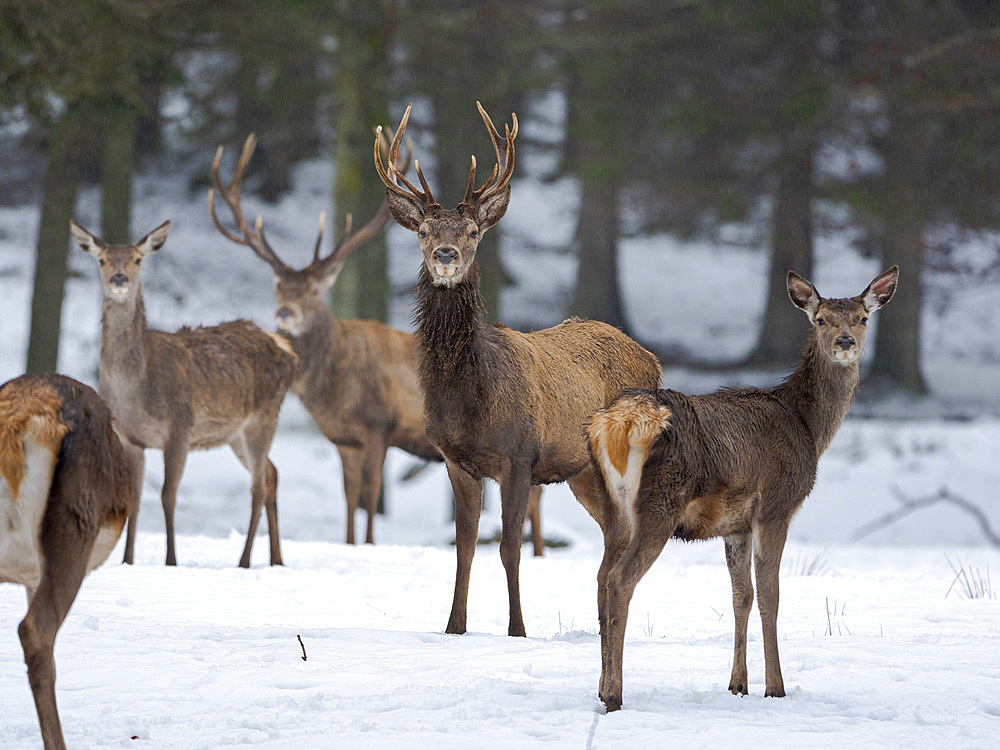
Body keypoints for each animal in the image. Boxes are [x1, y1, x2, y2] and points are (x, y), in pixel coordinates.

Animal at [72, 214, 296, 568]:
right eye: (102, 260)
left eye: (137, 259)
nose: (119, 278)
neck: (135, 391)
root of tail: (287, 349)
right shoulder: (129, 438)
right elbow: (134, 498)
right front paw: (127, 560)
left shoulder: (179, 427)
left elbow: (168, 494)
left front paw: (171, 560)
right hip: (235, 434)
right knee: (272, 474)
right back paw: (276, 559)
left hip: (264, 417)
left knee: (258, 486)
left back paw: (244, 560)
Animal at [376, 103, 664, 636]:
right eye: (424, 232)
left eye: (472, 232)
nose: (445, 256)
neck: (469, 399)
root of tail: (652, 358)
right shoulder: (455, 460)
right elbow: (465, 548)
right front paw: (454, 627)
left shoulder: (519, 457)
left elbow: (511, 548)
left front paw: (518, 629)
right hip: (583, 471)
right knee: (613, 535)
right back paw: (602, 622)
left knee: (626, 534)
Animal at [584, 266, 900, 712]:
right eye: (821, 319)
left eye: (863, 318)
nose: (845, 343)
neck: (807, 426)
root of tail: (618, 424)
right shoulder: (776, 506)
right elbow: (770, 595)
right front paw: (775, 686)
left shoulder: (735, 524)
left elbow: (741, 595)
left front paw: (738, 684)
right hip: (660, 504)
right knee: (619, 580)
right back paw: (614, 693)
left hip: (613, 509)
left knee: (600, 578)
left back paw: (600, 686)